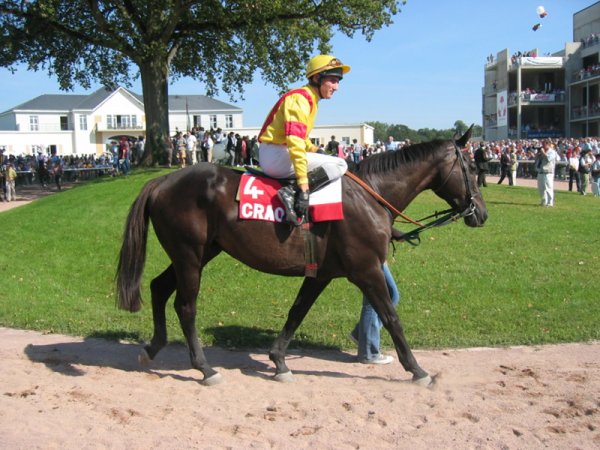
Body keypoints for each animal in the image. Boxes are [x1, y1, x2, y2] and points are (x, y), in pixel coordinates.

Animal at [116, 127, 488, 386]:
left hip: (198, 253)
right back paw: (205, 368)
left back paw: (152, 348)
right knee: (185, 306)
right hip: (190, 255)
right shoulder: (367, 270)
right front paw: (417, 369)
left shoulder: (321, 274)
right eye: (471, 165)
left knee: (158, 287)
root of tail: (163, 180)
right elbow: (391, 317)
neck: (370, 196)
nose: (481, 213)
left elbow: (297, 312)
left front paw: (279, 361)